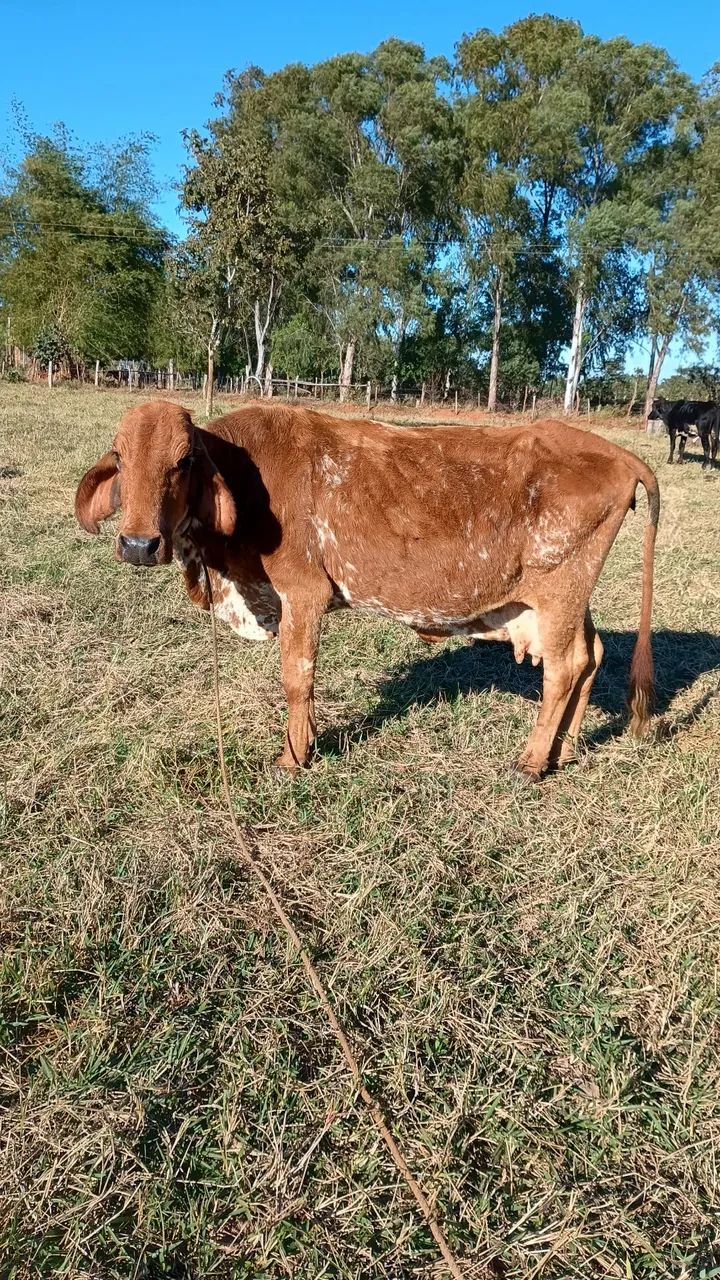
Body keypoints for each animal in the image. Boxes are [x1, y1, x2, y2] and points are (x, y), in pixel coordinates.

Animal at [75, 401, 659, 782]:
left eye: (183, 461)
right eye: (120, 458)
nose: (138, 544)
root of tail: (619, 454)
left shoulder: (303, 593)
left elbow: (298, 679)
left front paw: (294, 758)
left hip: (560, 590)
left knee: (565, 667)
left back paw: (533, 762)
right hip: (565, 598)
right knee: (592, 654)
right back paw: (565, 750)